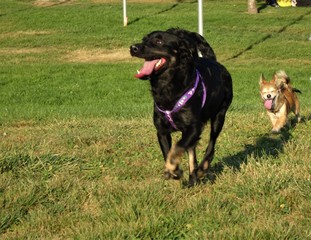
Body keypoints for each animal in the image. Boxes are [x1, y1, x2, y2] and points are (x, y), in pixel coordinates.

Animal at [130, 28, 234, 188]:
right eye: (144, 39)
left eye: (158, 41)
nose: (133, 47)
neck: (168, 87)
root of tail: (215, 61)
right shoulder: (162, 131)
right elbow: (168, 152)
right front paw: (174, 172)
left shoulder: (193, 128)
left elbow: (177, 147)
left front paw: (173, 168)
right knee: (192, 153)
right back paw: (192, 179)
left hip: (219, 116)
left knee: (211, 146)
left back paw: (202, 169)